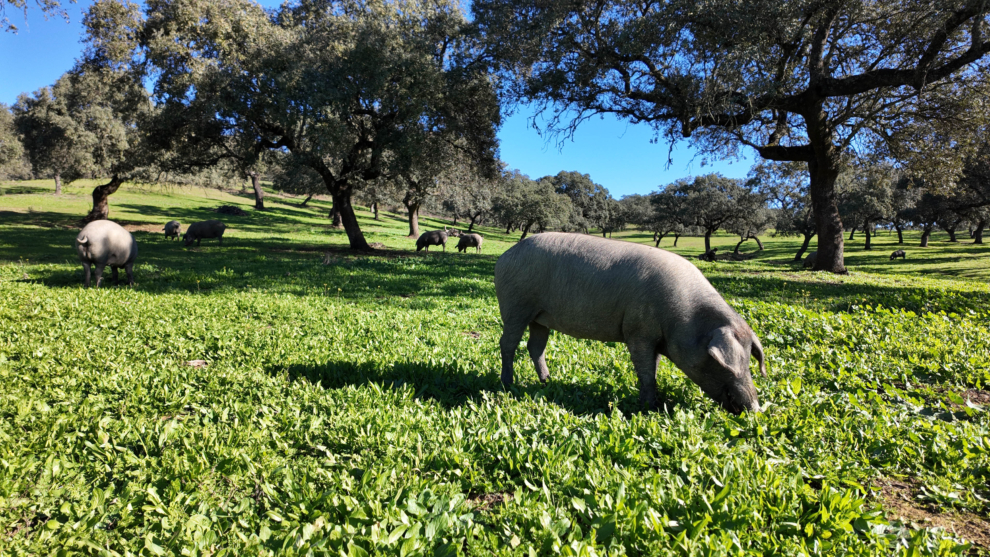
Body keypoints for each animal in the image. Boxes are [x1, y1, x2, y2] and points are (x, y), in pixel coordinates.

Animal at [496, 232, 768, 414]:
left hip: (540, 316)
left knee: (535, 347)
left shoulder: (654, 338)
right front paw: (649, 408)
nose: (756, 409)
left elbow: (653, 369)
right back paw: (509, 384)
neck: (682, 317)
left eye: (749, 358)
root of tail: (505, 255)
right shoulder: (638, 332)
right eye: (720, 362)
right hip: (515, 305)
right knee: (507, 343)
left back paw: (547, 381)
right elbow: (646, 372)